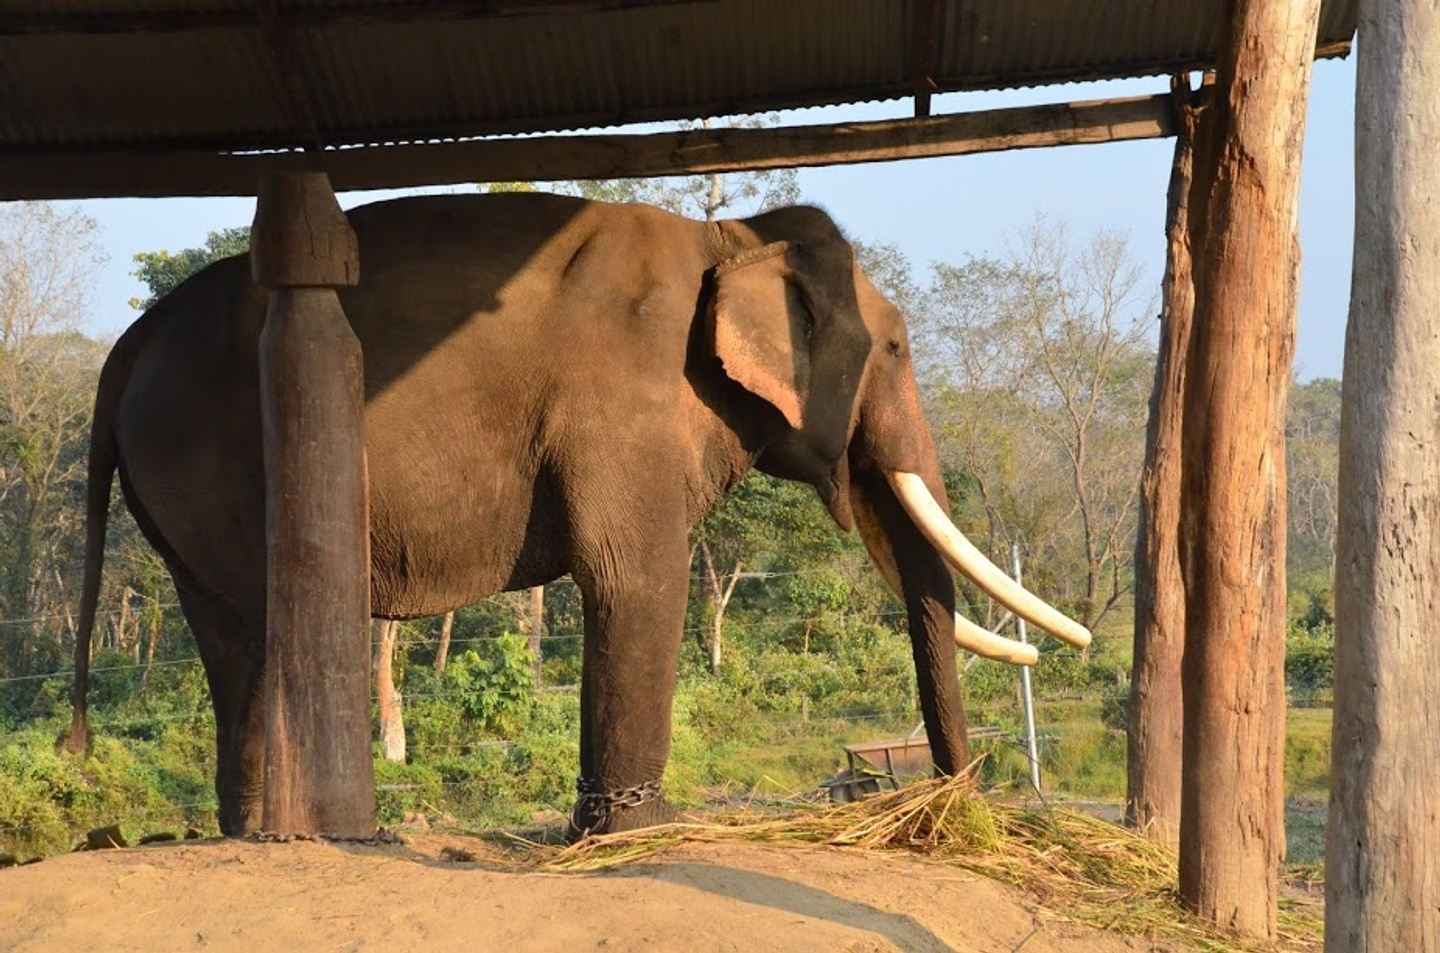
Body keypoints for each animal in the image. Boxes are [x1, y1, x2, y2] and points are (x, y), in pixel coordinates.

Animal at [61, 192, 1082, 834]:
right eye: (900, 349)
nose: (948, 806)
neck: (726, 239)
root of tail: (126, 348)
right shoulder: (622, 392)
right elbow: (639, 573)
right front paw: (647, 832)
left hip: (181, 494)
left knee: (231, 641)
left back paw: (260, 831)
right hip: (215, 455)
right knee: (269, 627)